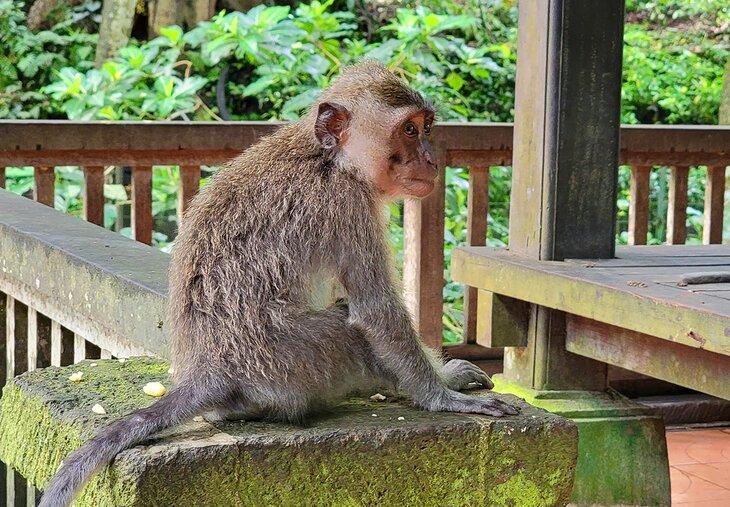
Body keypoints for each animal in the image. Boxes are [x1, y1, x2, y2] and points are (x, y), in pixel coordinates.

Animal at [39, 61, 519, 507]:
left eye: (426, 127)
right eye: (408, 130)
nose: (431, 160)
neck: (329, 157)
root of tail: (207, 370)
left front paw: (447, 377)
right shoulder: (348, 203)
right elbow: (375, 309)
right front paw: (442, 395)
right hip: (296, 361)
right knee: (345, 327)